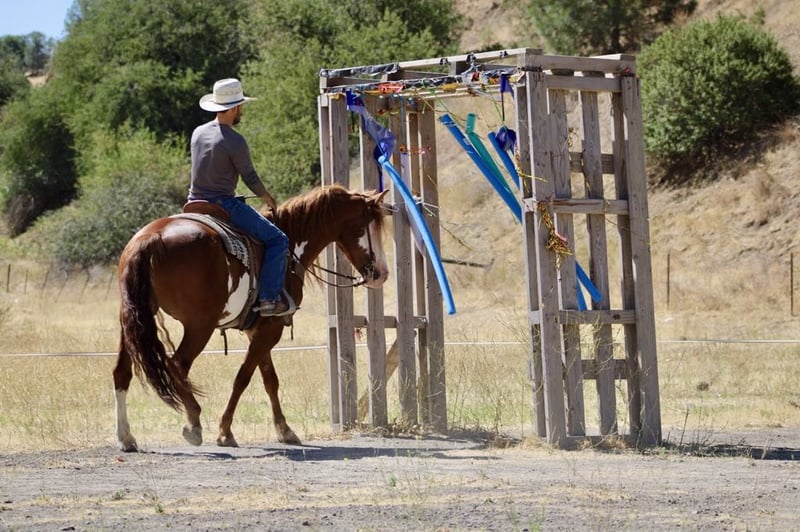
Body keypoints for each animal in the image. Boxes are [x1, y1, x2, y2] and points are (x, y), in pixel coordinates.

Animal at [113, 185, 389, 452]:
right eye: (366, 227)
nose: (382, 274)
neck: (289, 247)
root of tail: (151, 239)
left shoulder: (259, 329)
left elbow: (269, 380)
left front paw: (284, 430)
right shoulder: (272, 329)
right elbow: (243, 378)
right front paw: (225, 432)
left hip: (133, 320)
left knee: (122, 373)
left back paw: (126, 437)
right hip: (199, 326)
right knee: (177, 365)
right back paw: (193, 422)